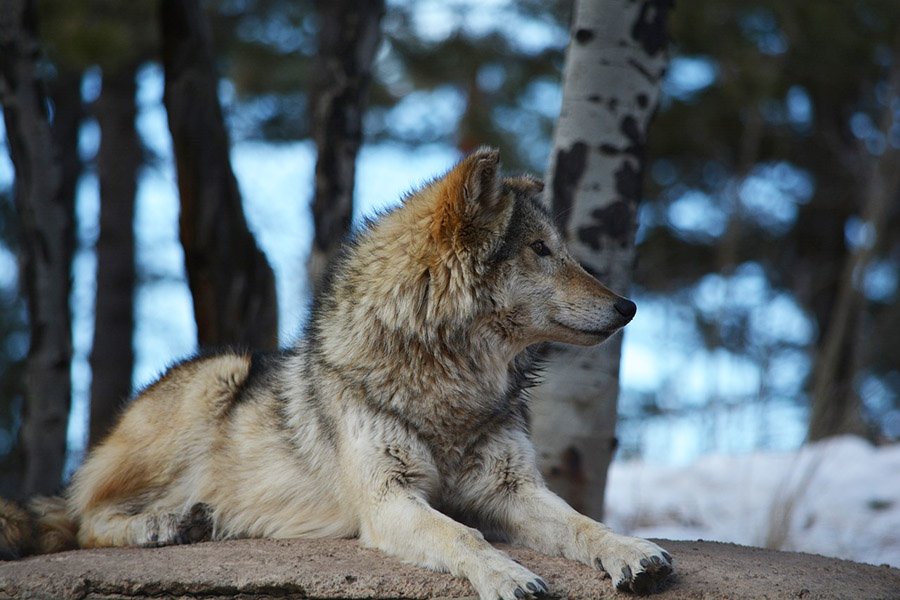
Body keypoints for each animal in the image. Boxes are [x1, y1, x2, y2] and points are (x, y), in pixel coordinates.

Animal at [0, 149, 672, 596]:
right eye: (540, 251)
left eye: (561, 249)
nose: (629, 306)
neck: (448, 383)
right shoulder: (388, 500)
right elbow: (465, 537)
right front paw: (507, 574)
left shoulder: (513, 491)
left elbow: (583, 523)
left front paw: (633, 552)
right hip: (219, 373)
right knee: (82, 518)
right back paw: (167, 524)